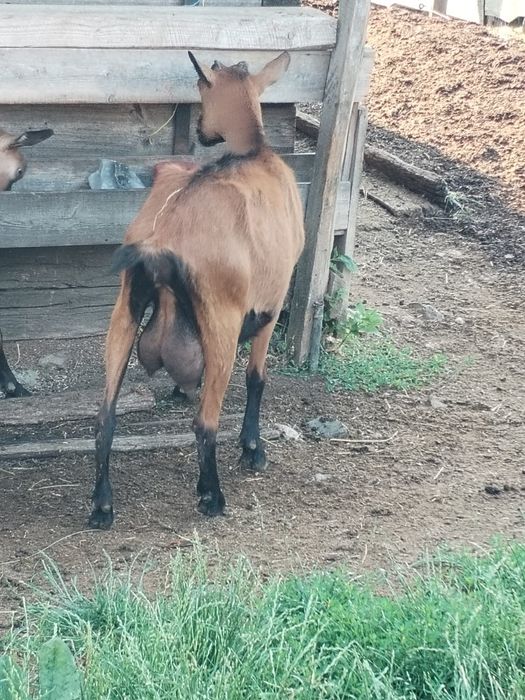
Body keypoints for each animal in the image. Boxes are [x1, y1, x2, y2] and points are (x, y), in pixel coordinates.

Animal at [90, 51, 305, 529]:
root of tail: (162, 239)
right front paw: (252, 449)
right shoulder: (271, 303)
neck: (255, 152)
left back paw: (101, 505)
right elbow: (258, 377)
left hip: (125, 308)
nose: (204, 133)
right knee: (205, 421)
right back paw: (212, 495)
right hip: (220, 319)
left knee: (105, 418)